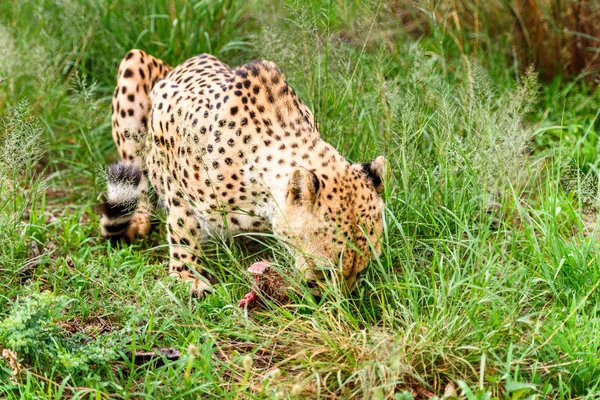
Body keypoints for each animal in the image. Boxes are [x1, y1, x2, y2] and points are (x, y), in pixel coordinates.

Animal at [101, 50, 386, 296]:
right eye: (324, 272)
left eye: (361, 271)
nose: (336, 299)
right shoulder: (165, 108)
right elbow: (181, 222)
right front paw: (187, 276)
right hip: (134, 64)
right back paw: (138, 219)